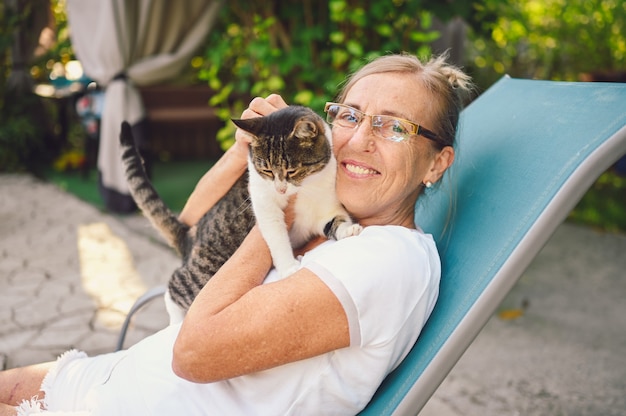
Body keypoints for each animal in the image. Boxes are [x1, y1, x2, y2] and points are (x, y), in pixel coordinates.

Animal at [119, 105, 358, 324]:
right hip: (203, 275)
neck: (305, 188)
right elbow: (277, 237)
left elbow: (336, 220)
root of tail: (190, 236)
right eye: (267, 170)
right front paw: (289, 269)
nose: (280, 189)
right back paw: (176, 321)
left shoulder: (325, 208)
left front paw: (350, 229)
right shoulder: (264, 203)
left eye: (292, 171)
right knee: (175, 286)